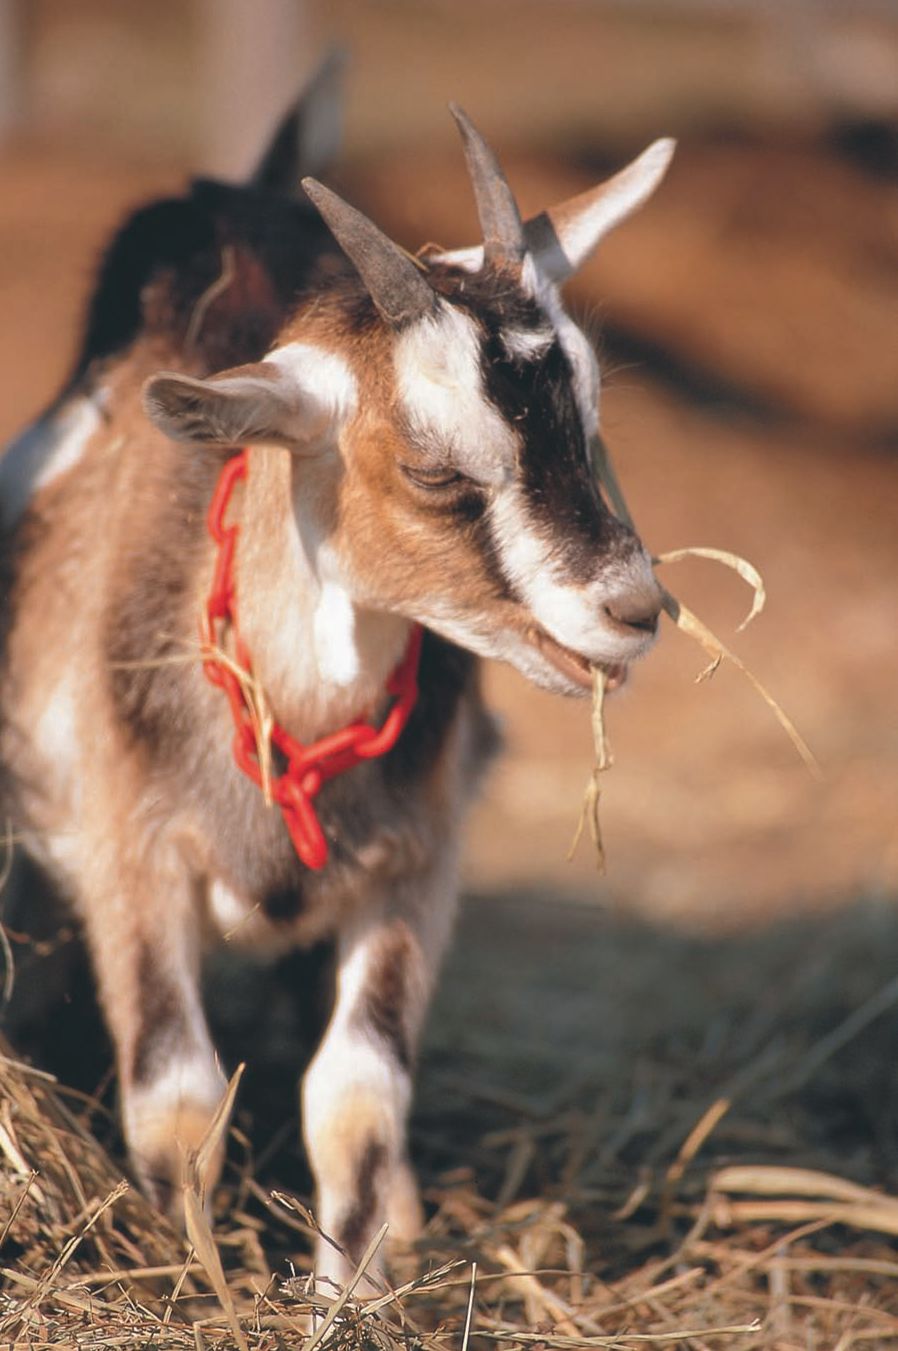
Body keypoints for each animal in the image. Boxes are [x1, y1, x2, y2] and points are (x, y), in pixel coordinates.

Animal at [0, 76, 669, 1286]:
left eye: (589, 421)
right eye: (432, 469)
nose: (634, 608)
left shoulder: (412, 868)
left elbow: (355, 1100)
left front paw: (351, 1295)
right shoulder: (133, 860)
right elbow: (178, 1100)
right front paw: (198, 1285)